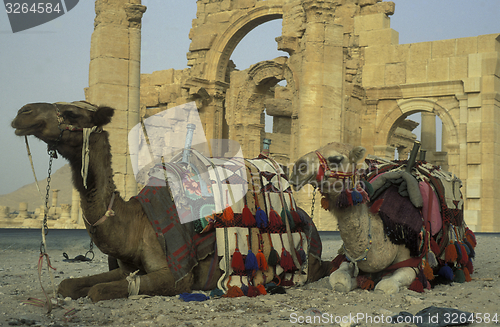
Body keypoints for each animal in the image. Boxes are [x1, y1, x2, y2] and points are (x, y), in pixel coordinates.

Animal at [10, 102, 332, 302]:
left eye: (71, 113)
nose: (23, 113)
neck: (134, 220)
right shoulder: (127, 268)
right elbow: (68, 284)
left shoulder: (177, 276)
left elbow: (98, 291)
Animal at [290, 144, 422, 294]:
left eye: (336, 159)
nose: (298, 168)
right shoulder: (348, 260)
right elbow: (339, 280)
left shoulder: (412, 263)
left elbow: (384, 286)